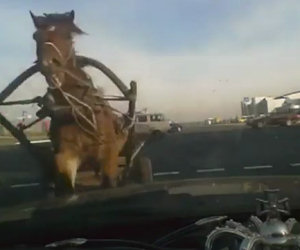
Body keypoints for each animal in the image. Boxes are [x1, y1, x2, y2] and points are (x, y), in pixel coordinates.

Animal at [29, 10, 129, 195]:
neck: (79, 110)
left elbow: (109, 180)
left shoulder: (109, 152)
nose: (48, 67)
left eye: (69, 37)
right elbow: (66, 179)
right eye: (35, 36)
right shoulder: (66, 153)